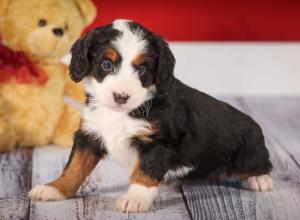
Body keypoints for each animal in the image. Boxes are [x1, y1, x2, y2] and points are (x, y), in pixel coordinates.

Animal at [29, 19, 274, 213]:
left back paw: (259, 179)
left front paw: (135, 198)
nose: (121, 96)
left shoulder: (160, 142)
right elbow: (75, 166)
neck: (122, 113)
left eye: (142, 69)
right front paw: (55, 189)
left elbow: (145, 170)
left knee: (262, 165)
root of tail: (254, 125)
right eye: (106, 64)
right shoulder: (90, 134)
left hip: (249, 151)